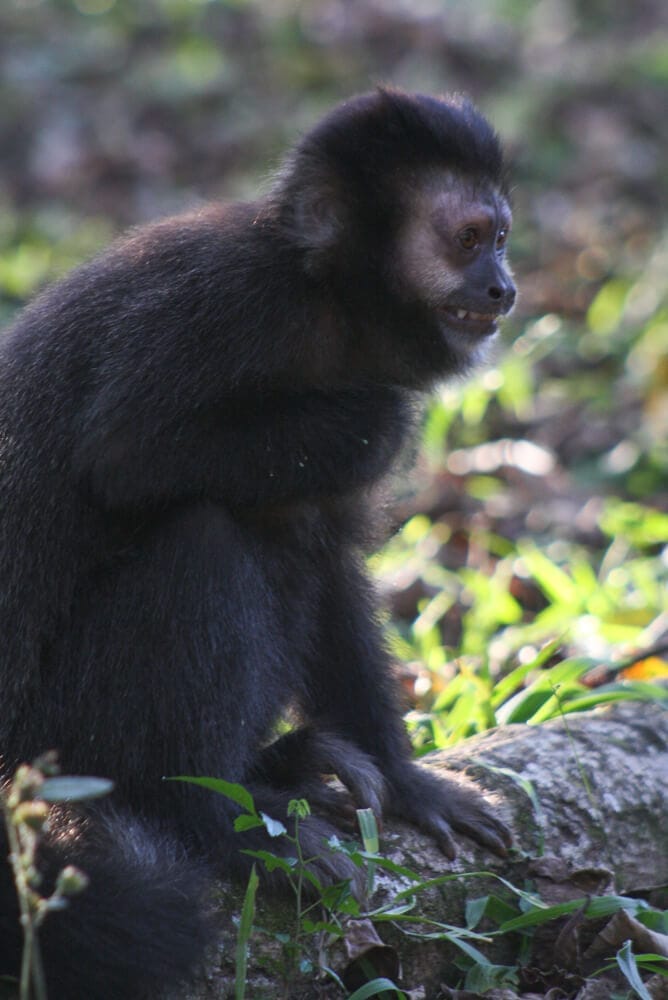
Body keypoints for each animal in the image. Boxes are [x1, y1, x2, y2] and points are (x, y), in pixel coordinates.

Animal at [0, 88, 516, 998]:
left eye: (501, 236)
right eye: (466, 237)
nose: (505, 286)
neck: (327, 303)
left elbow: (331, 560)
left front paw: (410, 783)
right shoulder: (233, 306)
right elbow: (124, 453)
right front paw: (360, 420)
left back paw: (280, 767)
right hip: (52, 739)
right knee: (205, 534)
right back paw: (213, 819)